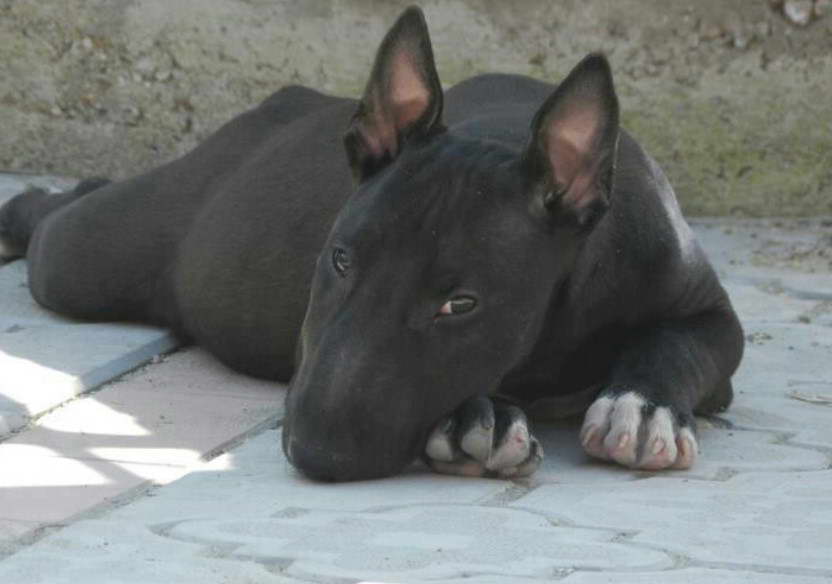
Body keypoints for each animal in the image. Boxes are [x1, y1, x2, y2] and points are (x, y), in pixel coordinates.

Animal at [0, 8, 740, 480]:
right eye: (340, 259)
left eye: (461, 304)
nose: (313, 453)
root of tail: (289, 101)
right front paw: (479, 421)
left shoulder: (706, 309)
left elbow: (681, 343)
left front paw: (641, 410)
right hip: (92, 257)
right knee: (60, 226)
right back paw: (22, 210)